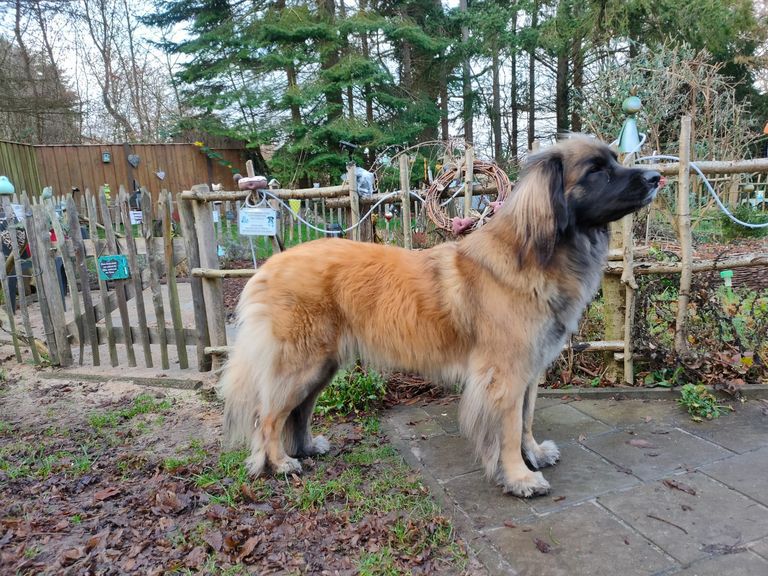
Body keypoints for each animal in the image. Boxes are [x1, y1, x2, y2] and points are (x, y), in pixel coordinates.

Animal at [218, 136, 660, 497]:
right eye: (596, 170)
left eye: (614, 161)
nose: (656, 176)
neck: (537, 252)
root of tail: (268, 266)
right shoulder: (505, 373)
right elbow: (508, 427)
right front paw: (519, 477)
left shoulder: (529, 370)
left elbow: (527, 419)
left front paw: (533, 453)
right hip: (301, 362)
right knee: (267, 416)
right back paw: (279, 463)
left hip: (321, 365)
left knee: (297, 411)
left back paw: (306, 447)